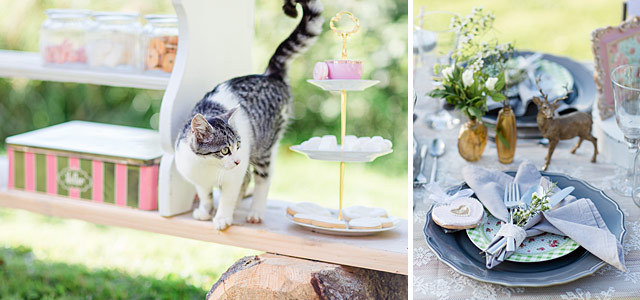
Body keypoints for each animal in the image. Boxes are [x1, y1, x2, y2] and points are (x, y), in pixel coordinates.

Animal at [174, 0, 320, 230]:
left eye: (238, 146)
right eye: (225, 150)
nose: (237, 160)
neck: (208, 167)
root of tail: (269, 75)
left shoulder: (234, 176)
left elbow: (227, 197)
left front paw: (222, 217)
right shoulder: (198, 178)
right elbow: (205, 194)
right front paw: (205, 211)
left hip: (264, 148)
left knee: (263, 180)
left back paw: (255, 212)